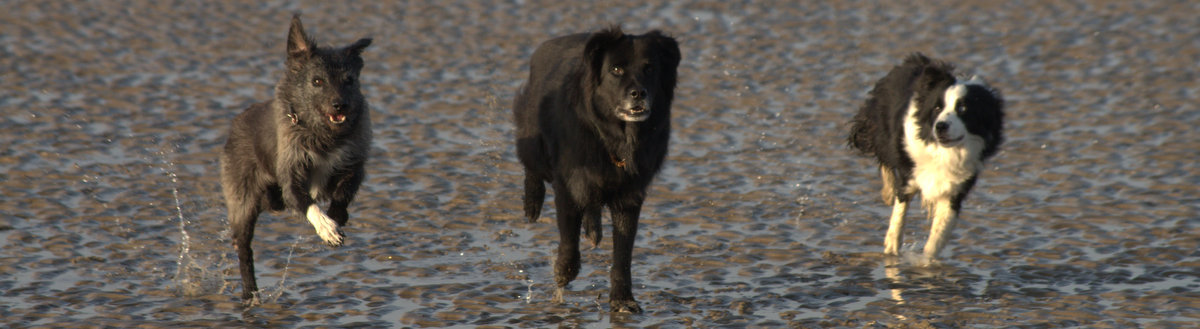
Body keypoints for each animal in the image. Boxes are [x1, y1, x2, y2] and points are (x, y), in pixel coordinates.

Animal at [219, 14, 369, 303]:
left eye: (348, 80)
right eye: (317, 81)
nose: (340, 105)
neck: (321, 133)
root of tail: (236, 124)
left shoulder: (353, 164)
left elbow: (343, 191)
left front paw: (337, 216)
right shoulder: (291, 175)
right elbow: (309, 204)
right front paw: (328, 229)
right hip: (243, 202)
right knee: (244, 248)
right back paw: (250, 292)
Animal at [513, 27, 681, 312]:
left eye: (649, 68)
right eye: (616, 69)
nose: (638, 93)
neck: (614, 138)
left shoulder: (629, 195)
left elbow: (623, 253)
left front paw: (623, 299)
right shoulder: (569, 184)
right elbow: (569, 235)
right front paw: (564, 272)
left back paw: (593, 230)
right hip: (534, 144)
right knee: (532, 168)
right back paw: (532, 203)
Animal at [849, 52, 1008, 261]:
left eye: (963, 109)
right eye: (937, 108)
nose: (940, 126)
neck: (943, 152)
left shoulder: (956, 187)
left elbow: (938, 234)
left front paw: (926, 262)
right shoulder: (909, 173)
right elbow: (899, 212)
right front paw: (892, 249)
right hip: (882, 129)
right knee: (884, 156)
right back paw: (888, 193)